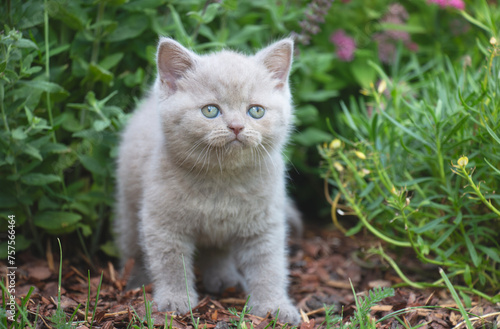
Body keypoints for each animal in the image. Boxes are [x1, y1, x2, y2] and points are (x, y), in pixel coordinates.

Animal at [114, 36, 300, 322]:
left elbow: (268, 266)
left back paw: (225, 280)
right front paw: (175, 300)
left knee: (217, 250)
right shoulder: (162, 223)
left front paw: (275, 307)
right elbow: (171, 264)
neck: (221, 181)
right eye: (210, 110)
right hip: (129, 201)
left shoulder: (264, 224)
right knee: (131, 247)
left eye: (256, 111)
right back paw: (135, 280)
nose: (236, 126)